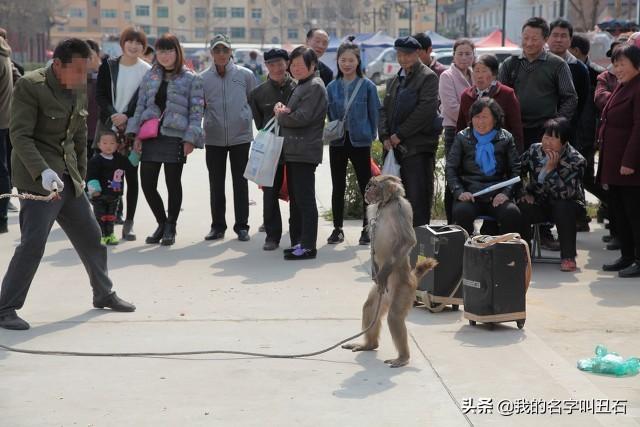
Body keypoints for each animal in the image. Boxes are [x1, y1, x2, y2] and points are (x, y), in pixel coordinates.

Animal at [342, 176, 438, 370]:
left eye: (373, 185)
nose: (366, 189)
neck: (385, 205)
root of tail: (411, 277)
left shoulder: (401, 207)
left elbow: (408, 240)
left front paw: (383, 273)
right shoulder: (372, 209)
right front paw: (374, 271)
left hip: (404, 288)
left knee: (394, 317)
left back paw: (403, 357)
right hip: (383, 295)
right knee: (370, 306)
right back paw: (369, 344)